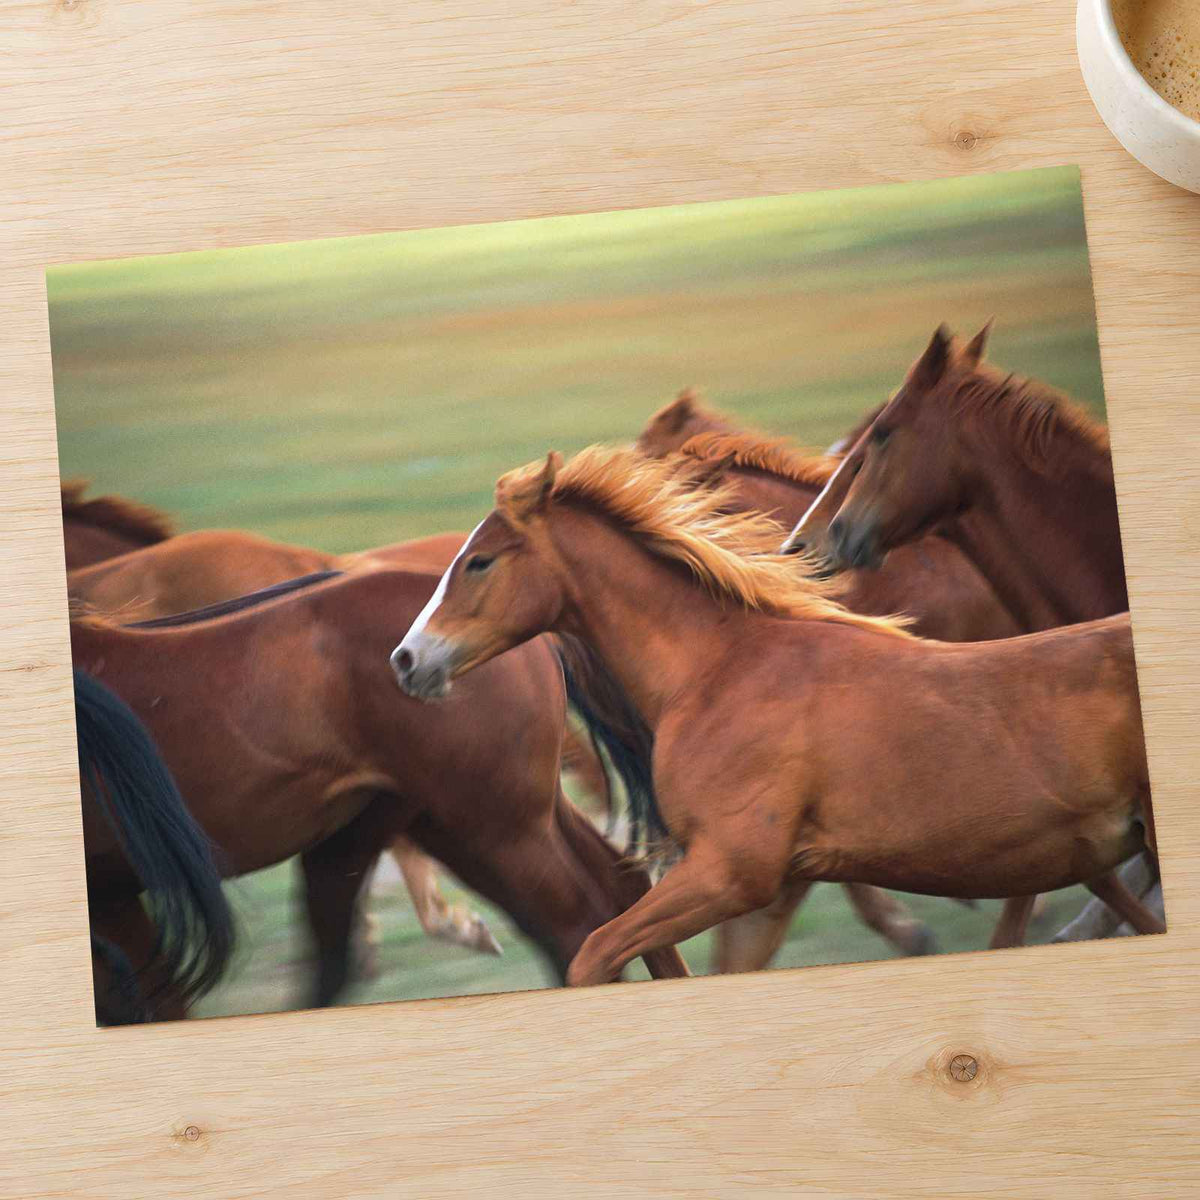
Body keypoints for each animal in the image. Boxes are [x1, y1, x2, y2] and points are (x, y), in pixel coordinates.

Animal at [391, 444, 1163, 986]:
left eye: (480, 561)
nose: (405, 659)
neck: (718, 671)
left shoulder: (732, 873)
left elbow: (592, 955)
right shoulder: (771, 890)